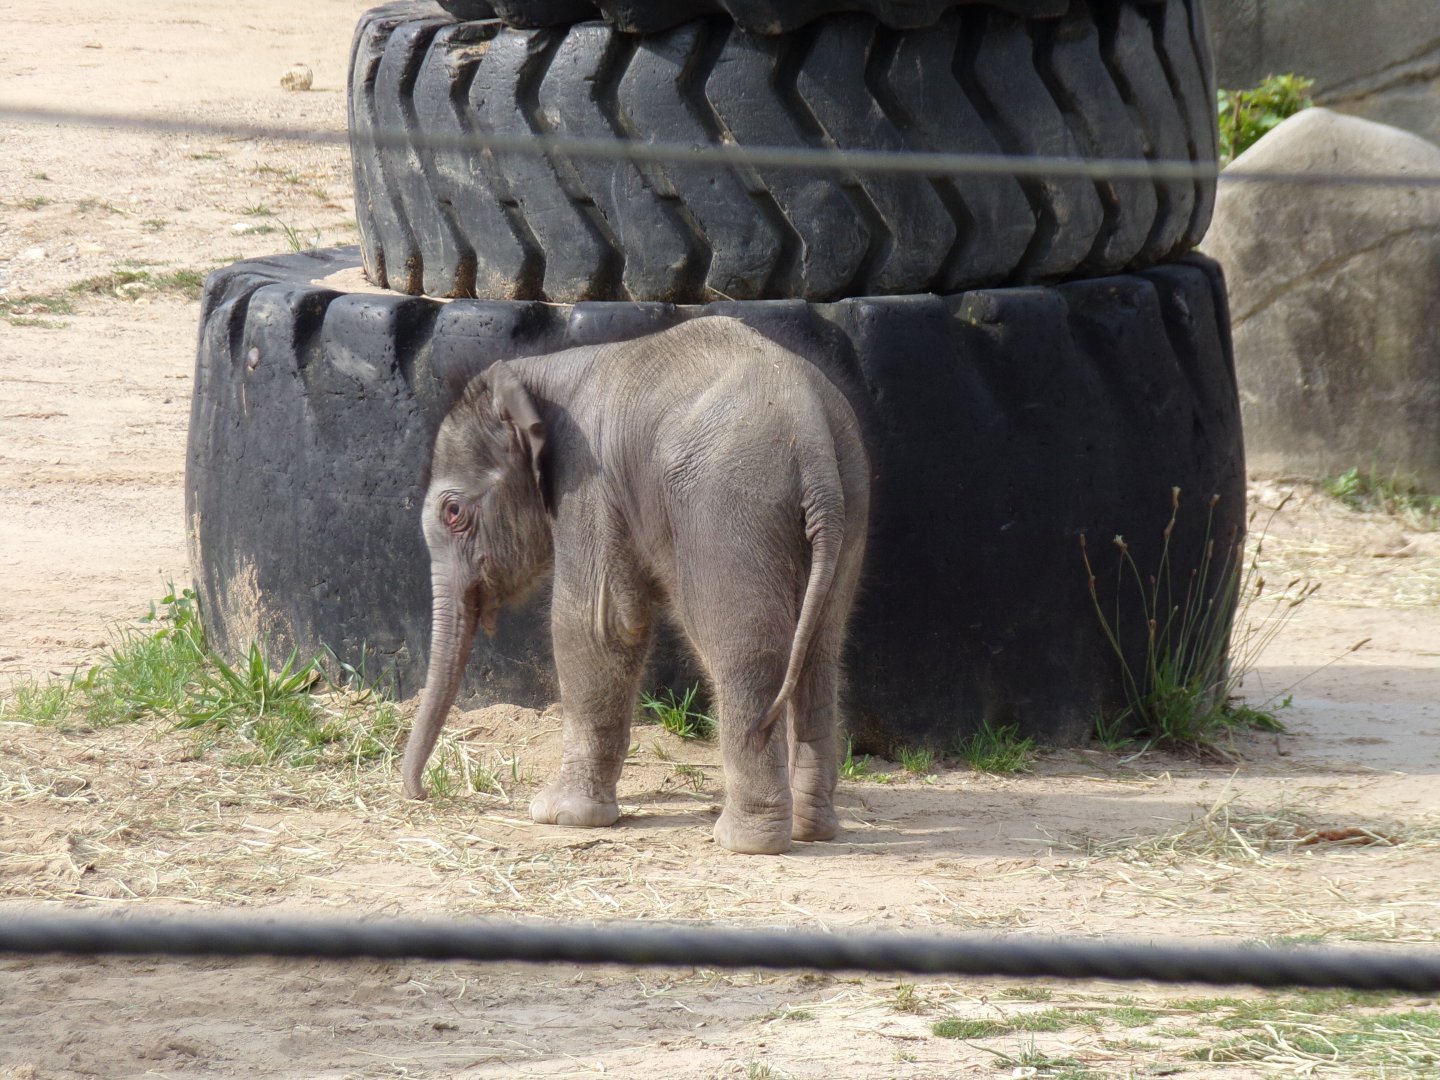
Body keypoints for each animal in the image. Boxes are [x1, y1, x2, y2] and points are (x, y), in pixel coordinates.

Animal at [401, 316, 870, 854]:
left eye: (453, 511)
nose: (420, 793)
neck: (537, 372)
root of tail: (811, 439)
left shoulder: (588, 481)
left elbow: (598, 625)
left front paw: (559, 815)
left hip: (730, 506)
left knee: (746, 652)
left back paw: (745, 841)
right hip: (850, 503)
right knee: (818, 650)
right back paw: (811, 830)